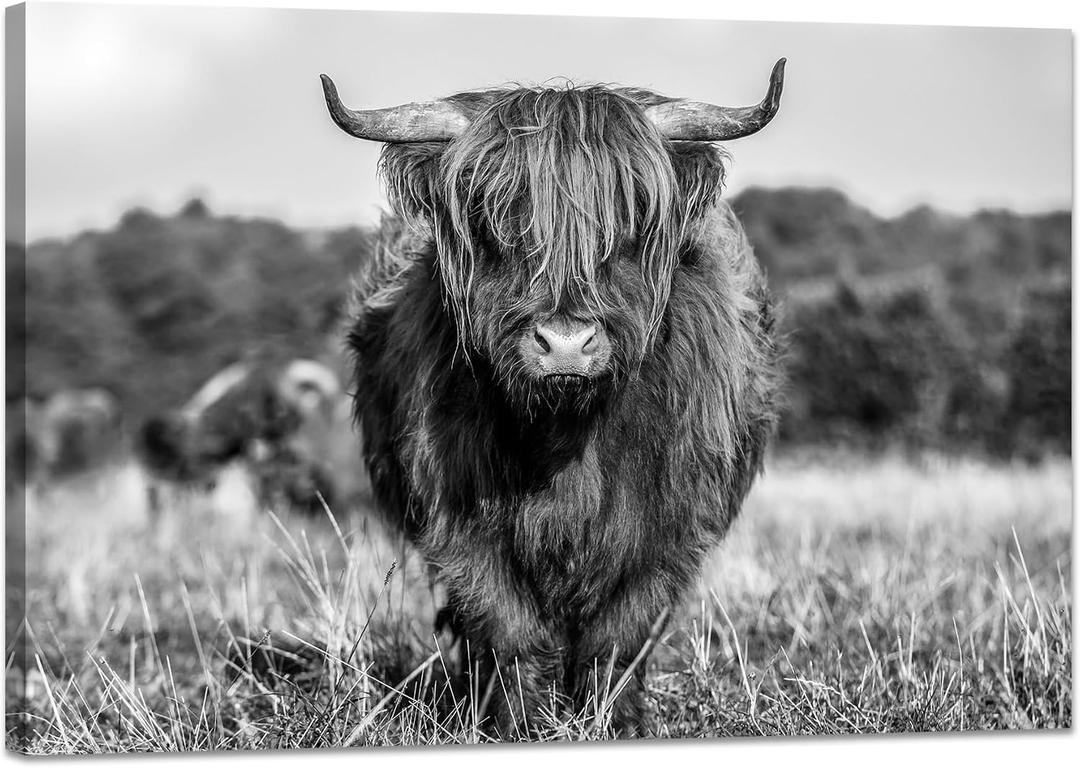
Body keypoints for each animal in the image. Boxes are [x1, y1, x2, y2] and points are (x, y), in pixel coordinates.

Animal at [321, 60, 786, 735]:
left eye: (630, 216)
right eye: (494, 216)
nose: (565, 343)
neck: (565, 436)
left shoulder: (669, 525)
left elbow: (620, 634)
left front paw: (616, 722)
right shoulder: (457, 520)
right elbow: (507, 629)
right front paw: (519, 725)